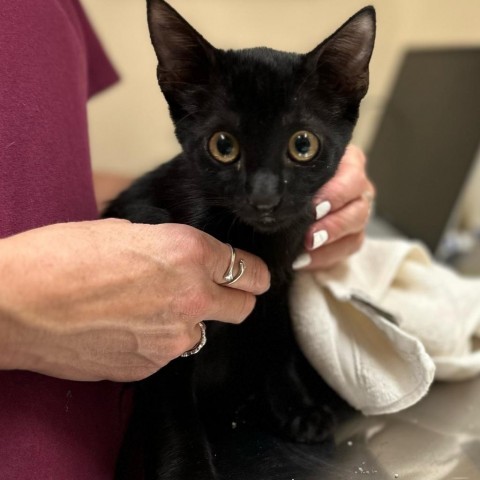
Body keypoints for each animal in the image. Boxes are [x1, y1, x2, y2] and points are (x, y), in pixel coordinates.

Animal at [104, 1, 376, 478]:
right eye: (223, 145)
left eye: (302, 144)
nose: (264, 196)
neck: (257, 241)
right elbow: (171, 402)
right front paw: (188, 468)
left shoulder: (281, 285)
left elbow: (278, 342)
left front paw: (295, 406)